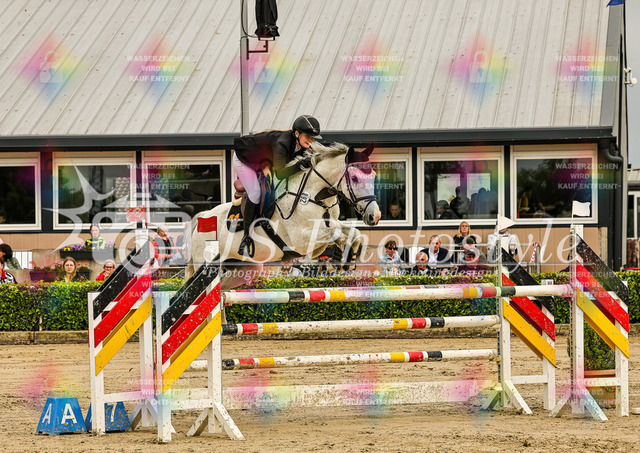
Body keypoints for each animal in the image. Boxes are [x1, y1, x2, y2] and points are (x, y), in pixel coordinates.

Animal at [189, 142, 381, 286]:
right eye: (354, 178)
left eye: (373, 175)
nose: (375, 216)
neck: (316, 196)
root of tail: (202, 218)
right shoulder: (299, 240)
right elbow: (336, 234)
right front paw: (337, 259)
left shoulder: (331, 222)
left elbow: (353, 233)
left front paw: (347, 260)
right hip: (207, 263)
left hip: (243, 268)